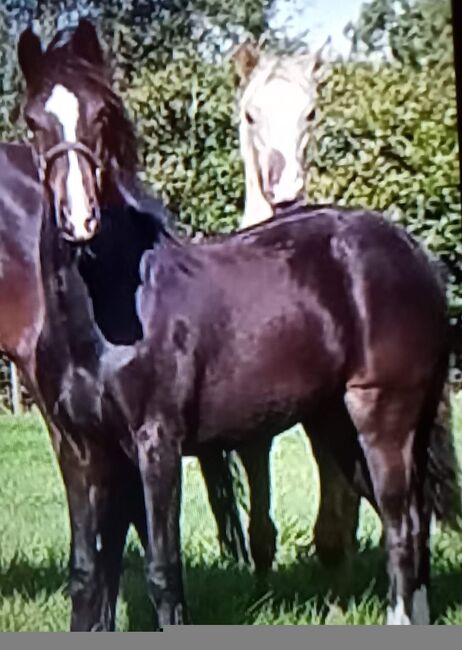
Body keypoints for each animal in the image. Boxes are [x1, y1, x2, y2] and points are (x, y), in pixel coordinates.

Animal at [18, 19, 461, 626]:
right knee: (413, 526)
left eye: (101, 115)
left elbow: (163, 571)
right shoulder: (80, 450)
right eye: (32, 122)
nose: (79, 218)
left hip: (381, 414)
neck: (105, 321)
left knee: (401, 527)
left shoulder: (156, 444)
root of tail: (412, 251)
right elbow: (88, 573)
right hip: (337, 423)